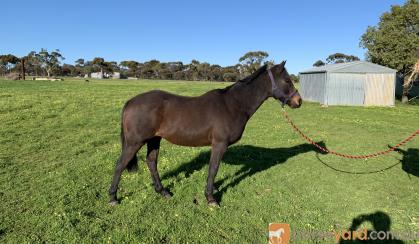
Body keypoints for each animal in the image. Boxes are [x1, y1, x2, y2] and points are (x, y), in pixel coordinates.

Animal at [109, 61, 302, 206]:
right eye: (287, 80)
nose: (298, 101)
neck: (233, 104)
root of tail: (130, 102)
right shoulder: (219, 144)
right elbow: (213, 169)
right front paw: (211, 198)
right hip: (135, 142)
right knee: (120, 165)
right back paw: (113, 198)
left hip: (154, 139)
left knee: (151, 162)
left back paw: (163, 191)